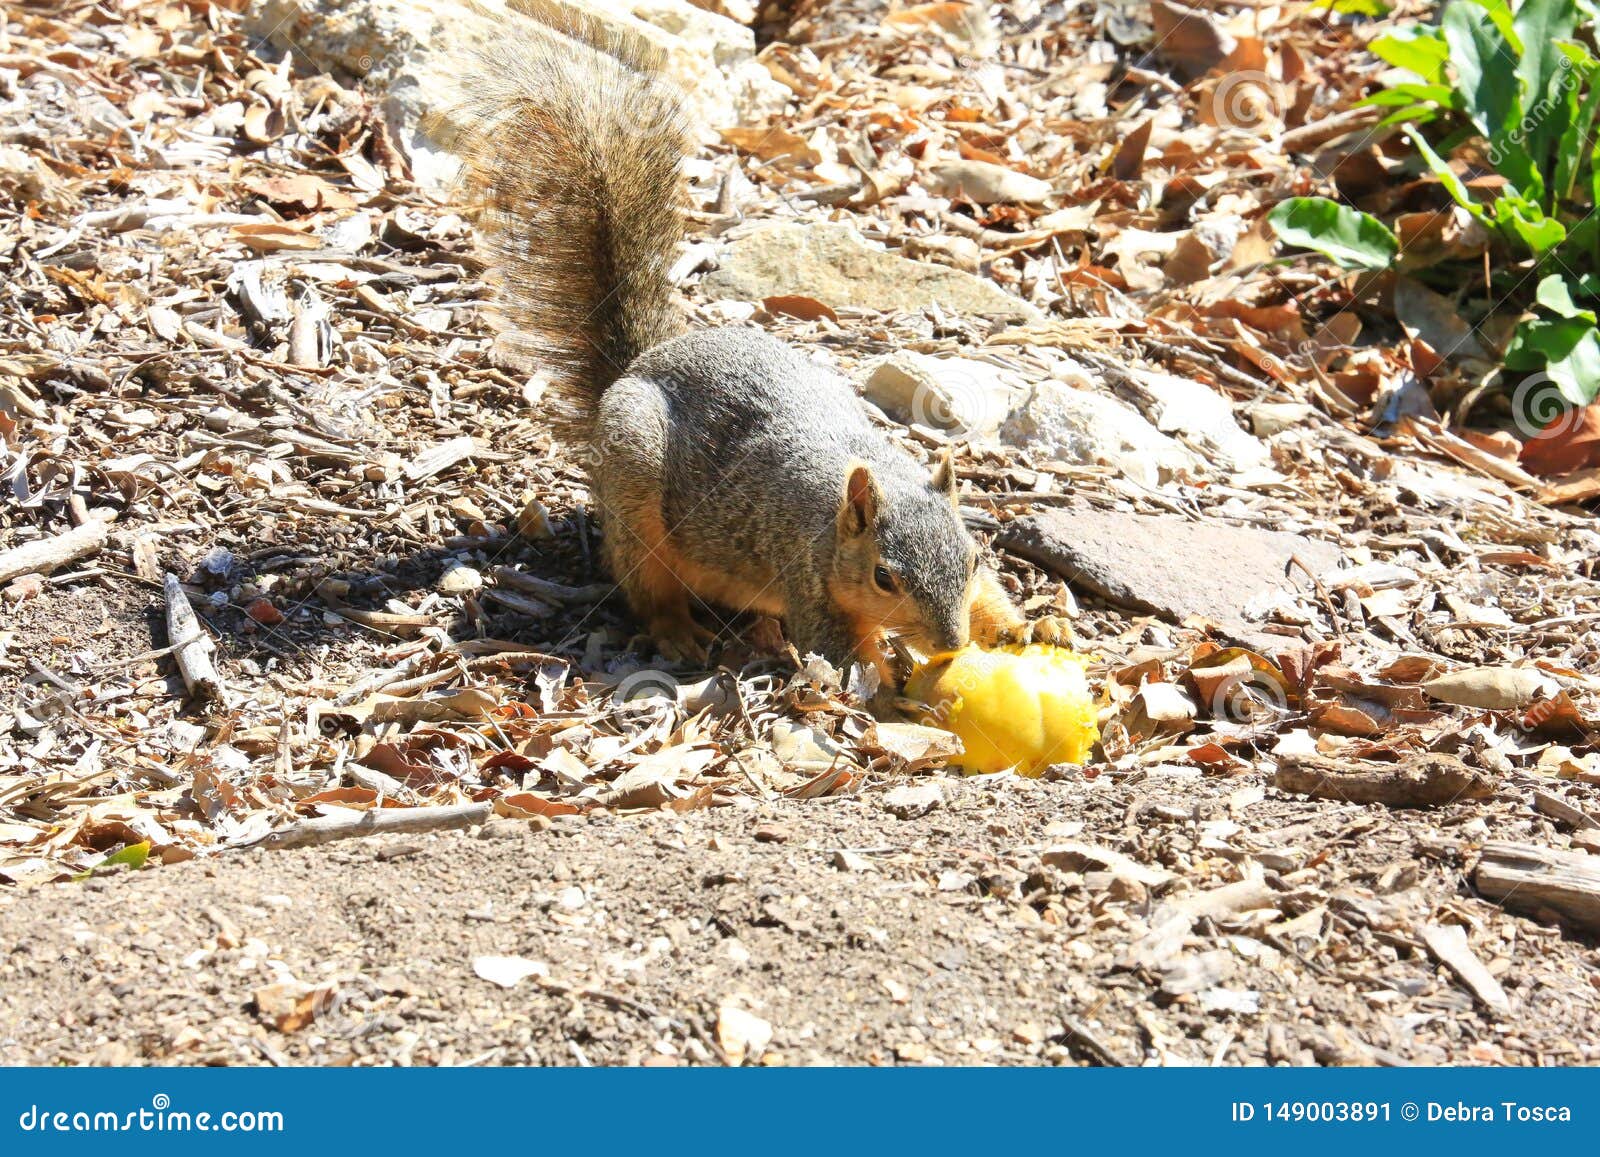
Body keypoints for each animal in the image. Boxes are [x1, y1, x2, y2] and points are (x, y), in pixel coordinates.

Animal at [451, 12, 1068, 682]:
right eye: (884, 577)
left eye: (973, 557)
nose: (950, 643)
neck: (842, 513)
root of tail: (636, 366)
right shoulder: (805, 571)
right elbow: (843, 660)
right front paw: (898, 690)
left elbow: (991, 604)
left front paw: (1031, 627)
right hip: (636, 495)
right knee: (646, 589)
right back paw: (678, 633)